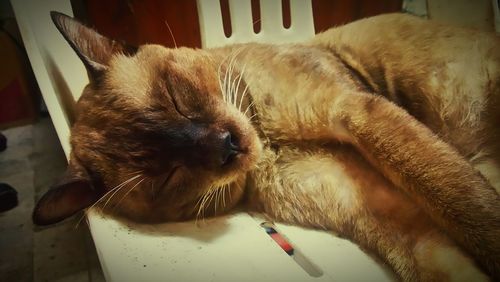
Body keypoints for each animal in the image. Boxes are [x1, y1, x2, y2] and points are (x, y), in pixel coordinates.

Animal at [33, 12, 498, 280]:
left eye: (175, 97)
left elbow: (465, 205)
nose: (227, 146)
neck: (270, 143)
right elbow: (457, 245)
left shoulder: (355, 112)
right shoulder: (392, 220)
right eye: (167, 177)